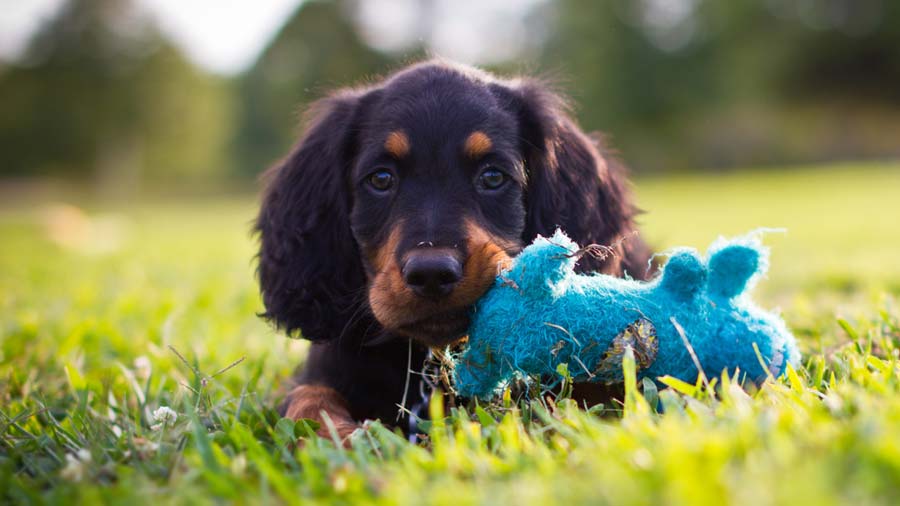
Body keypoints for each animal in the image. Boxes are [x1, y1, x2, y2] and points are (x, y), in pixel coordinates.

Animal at [256, 58, 652, 438]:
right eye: (380, 179)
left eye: (492, 177)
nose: (431, 274)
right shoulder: (322, 370)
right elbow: (309, 402)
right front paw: (347, 439)